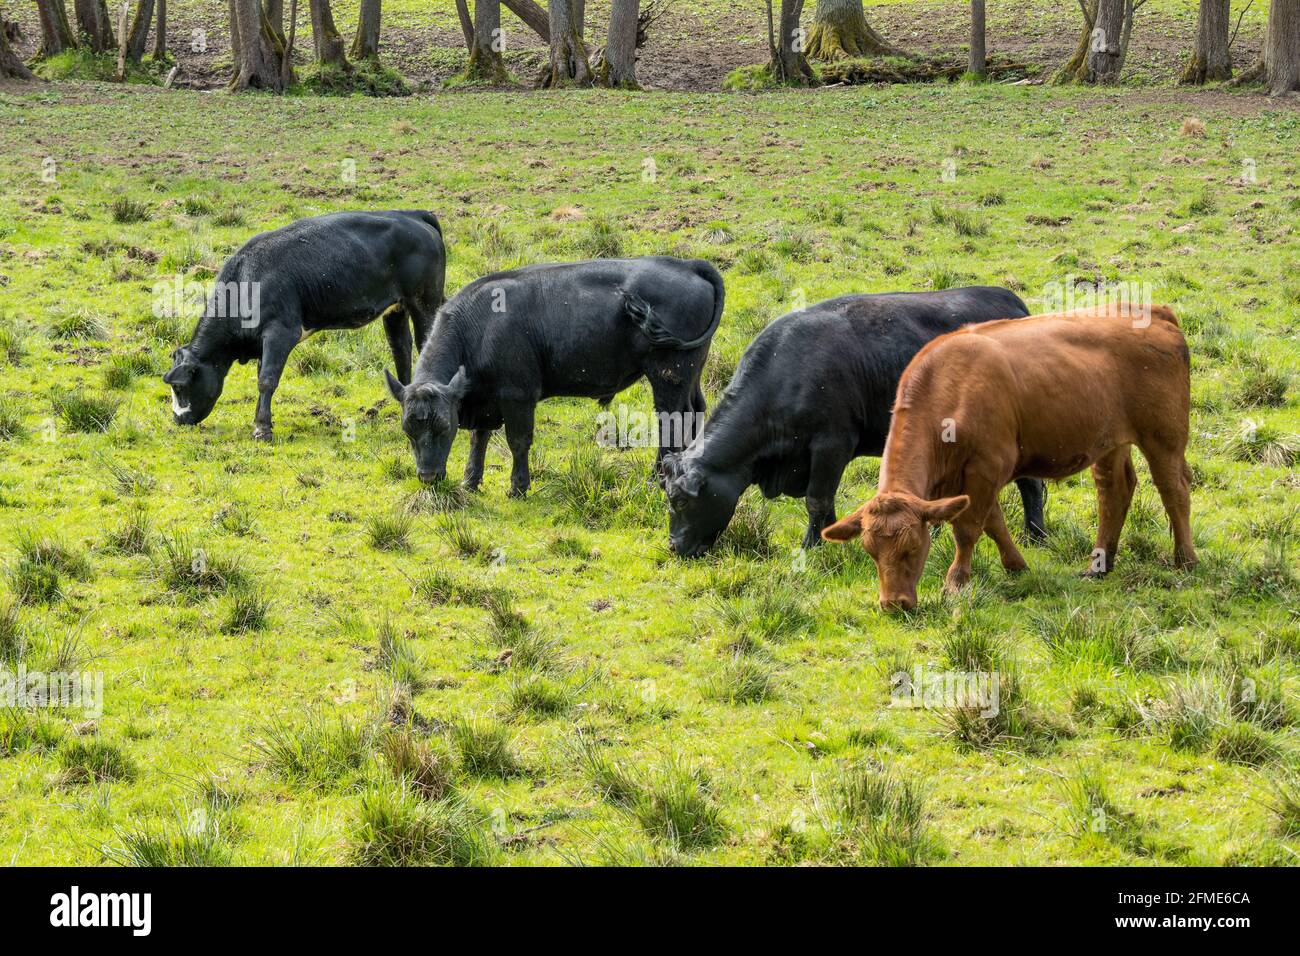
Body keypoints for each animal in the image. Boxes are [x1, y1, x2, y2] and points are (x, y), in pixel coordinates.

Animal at [161, 209, 447, 442]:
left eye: (180, 386)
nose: (178, 419)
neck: (248, 281)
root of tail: (412, 214)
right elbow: (262, 375)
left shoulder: (280, 333)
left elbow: (266, 380)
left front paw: (262, 429)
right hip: (396, 308)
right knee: (401, 350)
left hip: (425, 301)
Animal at [384, 256, 728, 494]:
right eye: (408, 429)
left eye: (443, 426)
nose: (428, 476)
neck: (479, 326)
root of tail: (688, 264)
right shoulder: (482, 400)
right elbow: (478, 440)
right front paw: (470, 482)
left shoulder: (517, 398)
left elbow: (518, 441)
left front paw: (518, 487)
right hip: (690, 376)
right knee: (696, 413)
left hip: (667, 378)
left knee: (672, 422)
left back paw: (657, 477)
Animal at [665, 291, 1050, 561]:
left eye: (681, 501)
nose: (674, 546)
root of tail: (1013, 303)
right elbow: (827, 504)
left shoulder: (831, 445)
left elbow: (817, 500)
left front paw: (810, 548)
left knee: (1031, 484)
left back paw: (1036, 536)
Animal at [821, 303, 1196, 608]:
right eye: (870, 551)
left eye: (912, 547)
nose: (893, 603)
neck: (950, 388)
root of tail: (1155, 311)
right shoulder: (965, 481)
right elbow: (994, 523)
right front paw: (1016, 565)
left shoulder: (987, 468)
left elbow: (968, 530)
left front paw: (955, 583)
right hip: (1110, 441)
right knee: (1114, 492)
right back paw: (1099, 566)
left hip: (1163, 436)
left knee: (1173, 489)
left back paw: (1185, 560)